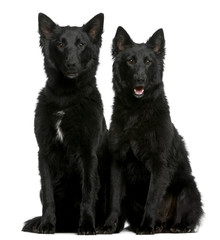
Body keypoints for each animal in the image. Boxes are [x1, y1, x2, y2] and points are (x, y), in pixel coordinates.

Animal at [21, 12, 109, 234]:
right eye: (60, 44)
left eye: (81, 44)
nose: (71, 64)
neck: (66, 99)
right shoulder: (44, 152)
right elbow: (49, 196)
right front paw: (47, 224)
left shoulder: (88, 154)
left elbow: (88, 193)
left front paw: (87, 225)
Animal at [102, 26, 204, 234]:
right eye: (130, 60)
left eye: (148, 62)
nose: (140, 79)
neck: (136, 112)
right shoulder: (117, 162)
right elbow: (115, 199)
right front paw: (110, 224)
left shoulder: (159, 165)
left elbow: (152, 199)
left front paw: (146, 226)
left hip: (188, 187)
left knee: (186, 214)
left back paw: (176, 226)